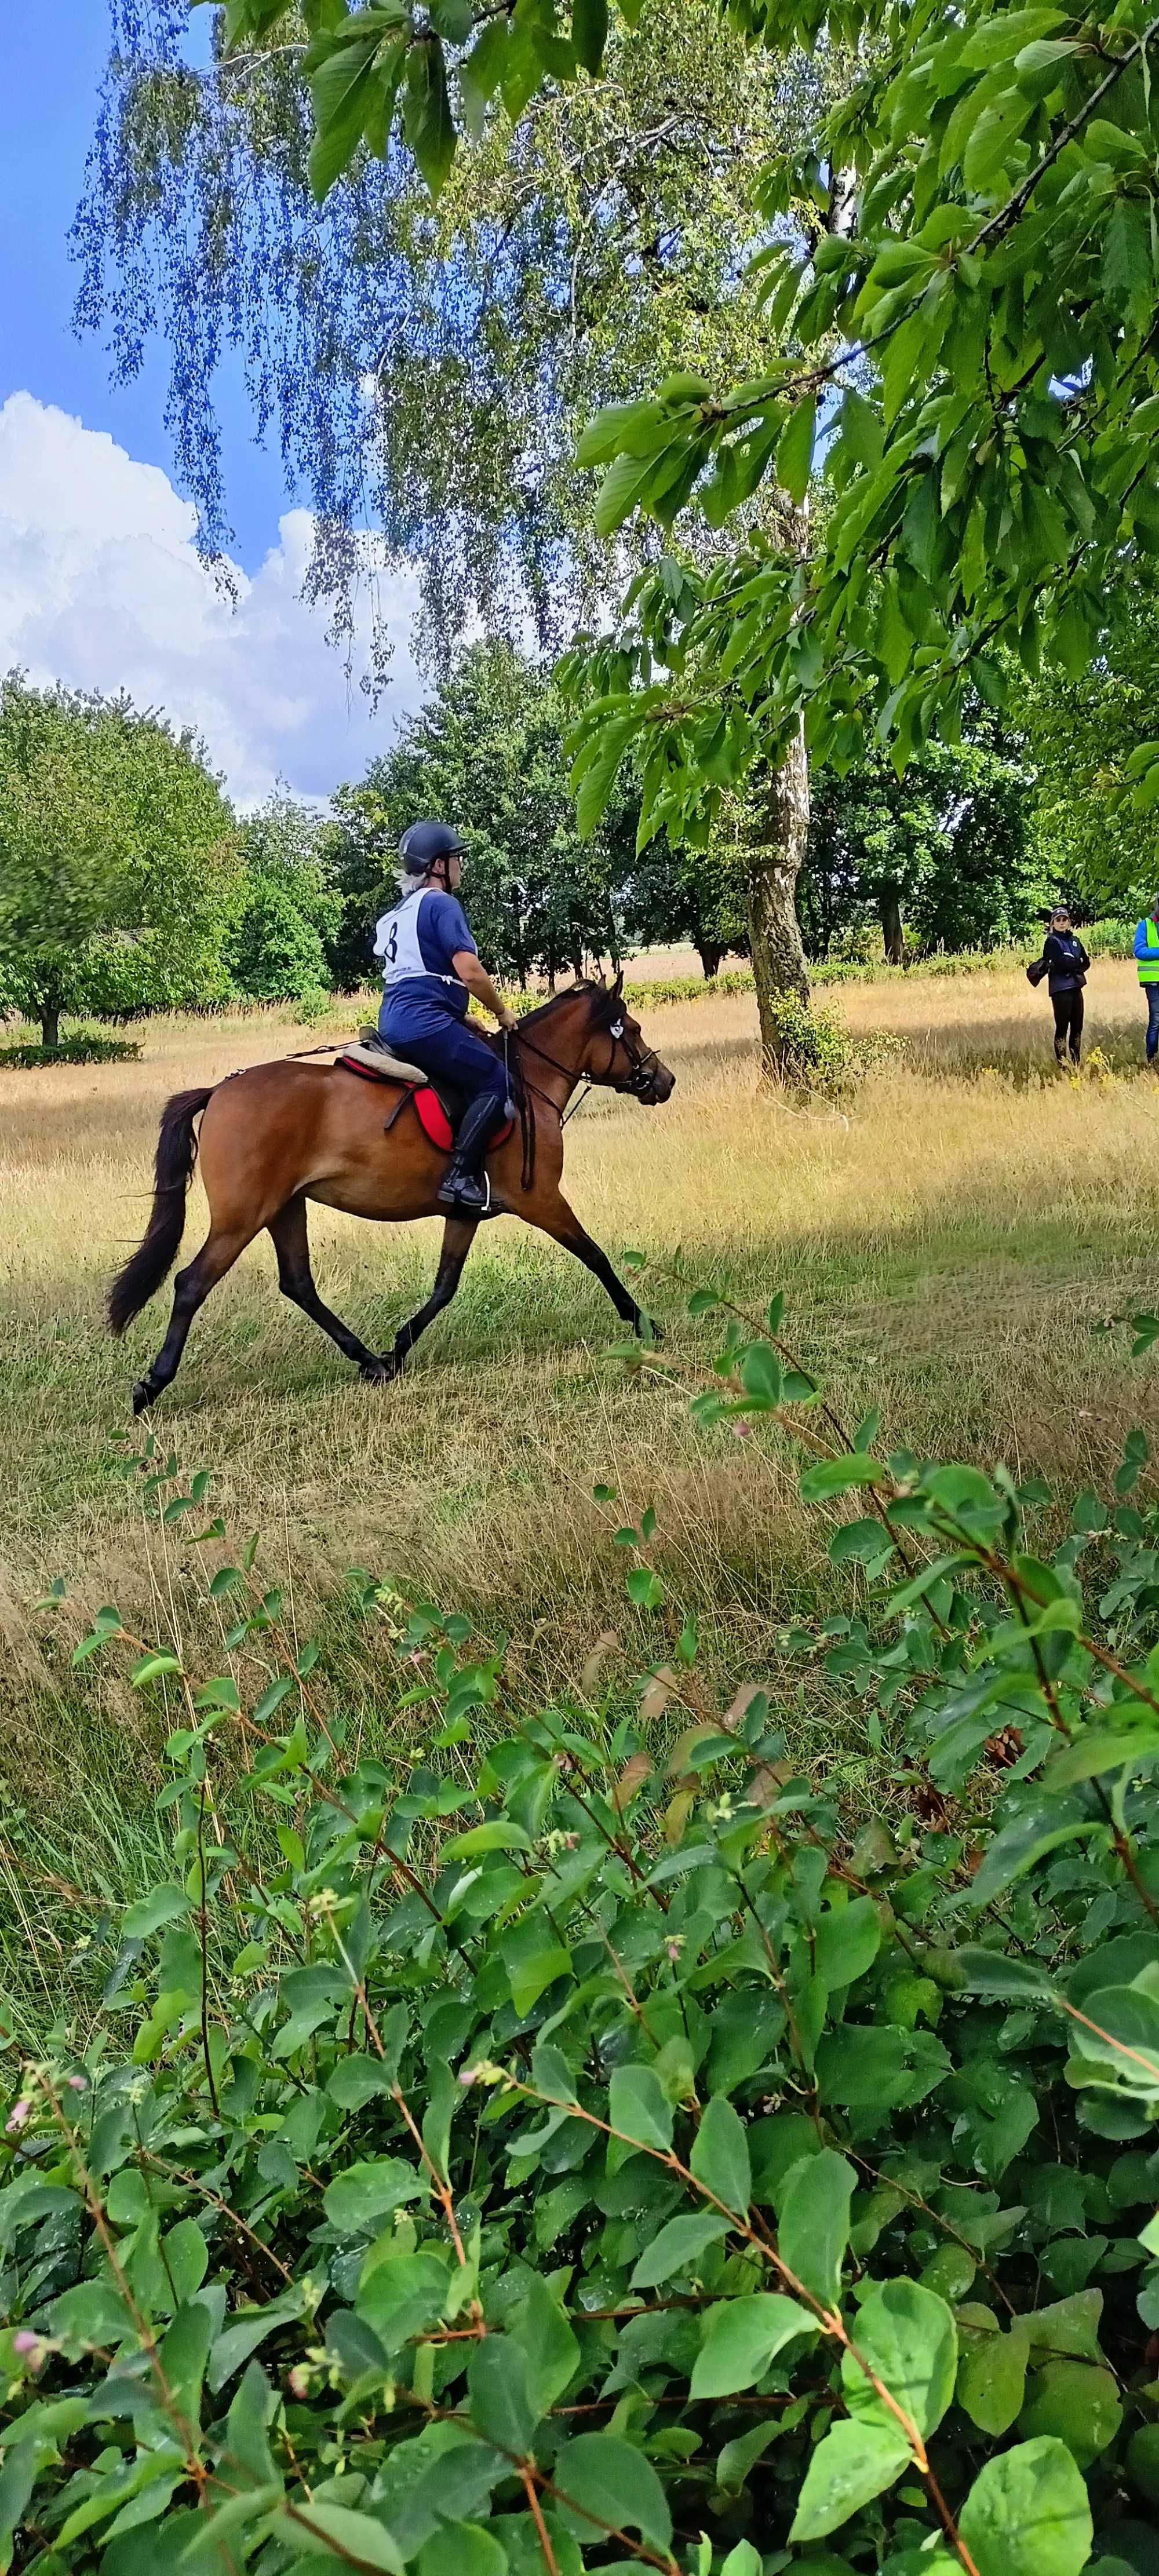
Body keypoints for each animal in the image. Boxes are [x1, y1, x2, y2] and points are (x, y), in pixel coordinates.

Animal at [108, 973, 675, 1411]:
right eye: (633, 1030)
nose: (663, 1081)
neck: (527, 1079)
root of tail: (220, 1090)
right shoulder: (542, 1201)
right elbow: (596, 1256)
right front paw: (644, 1322)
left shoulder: (466, 1211)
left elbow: (445, 1286)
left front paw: (399, 1349)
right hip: (242, 1217)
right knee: (191, 1284)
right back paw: (152, 1385)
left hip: (285, 1207)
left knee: (299, 1284)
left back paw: (369, 1361)